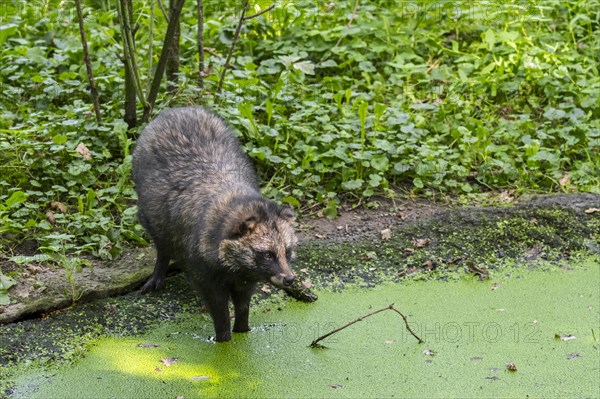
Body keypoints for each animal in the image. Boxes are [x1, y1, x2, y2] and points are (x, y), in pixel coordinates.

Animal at [133, 107, 298, 344]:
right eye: (267, 254)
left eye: (288, 251)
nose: (290, 279)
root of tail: (179, 109)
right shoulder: (201, 267)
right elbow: (217, 305)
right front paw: (223, 338)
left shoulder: (247, 276)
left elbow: (243, 303)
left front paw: (242, 328)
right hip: (147, 203)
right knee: (161, 238)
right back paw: (161, 264)